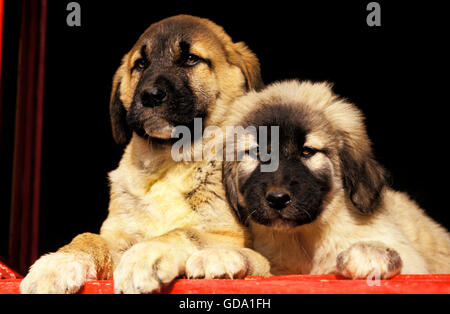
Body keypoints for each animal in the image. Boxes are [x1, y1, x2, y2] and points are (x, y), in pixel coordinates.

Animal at [21, 14, 268, 294]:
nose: (149, 95)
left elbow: (183, 232)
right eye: (140, 64)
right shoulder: (117, 236)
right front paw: (57, 263)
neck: (169, 161)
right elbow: (89, 239)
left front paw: (146, 255)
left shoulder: (230, 235)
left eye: (191, 59)